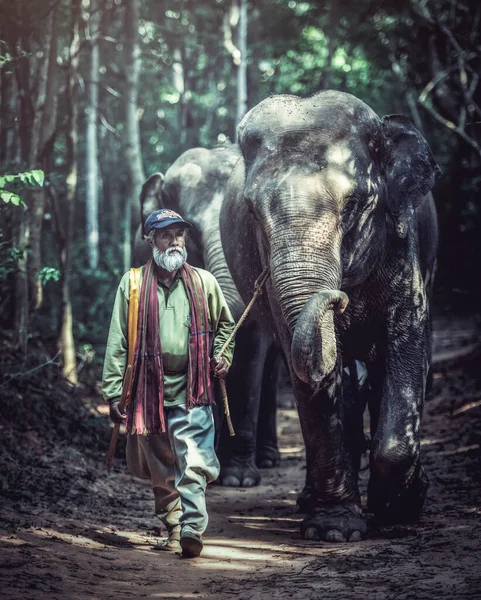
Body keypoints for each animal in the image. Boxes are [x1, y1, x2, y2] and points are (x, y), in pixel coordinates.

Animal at [220, 90, 438, 544]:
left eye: (354, 204)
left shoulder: (403, 245)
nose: (337, 299)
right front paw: (333, 531)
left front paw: (400, 510)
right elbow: (312, 373)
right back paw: (312, 501)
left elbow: (406, 343)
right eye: (251, 210)